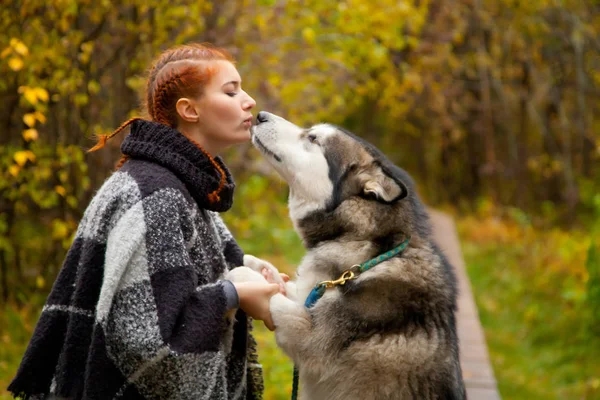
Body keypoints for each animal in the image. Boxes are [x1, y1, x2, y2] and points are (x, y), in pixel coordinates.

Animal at [227, 111, 466, 400]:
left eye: (312, 138)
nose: (260, 115)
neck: (371, 253)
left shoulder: (310, 338)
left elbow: (274, 299)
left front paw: (245, 278)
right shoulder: (311, 294)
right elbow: (285, 286)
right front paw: (260, 268)